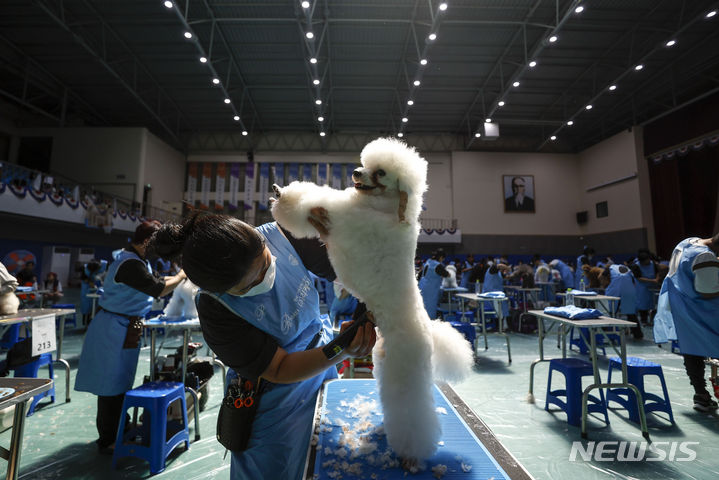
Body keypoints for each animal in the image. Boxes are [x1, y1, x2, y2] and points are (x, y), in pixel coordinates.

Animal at [270, 137, 472, 466]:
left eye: (380, 173)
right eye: (365, 164)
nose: (354, 173)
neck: (385, 209)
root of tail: (428, 331)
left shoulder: (347, 218)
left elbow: (322, 202)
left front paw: (286, 197)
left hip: (407, 373)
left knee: (414, 413)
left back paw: (412, 454)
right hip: (385, 361)